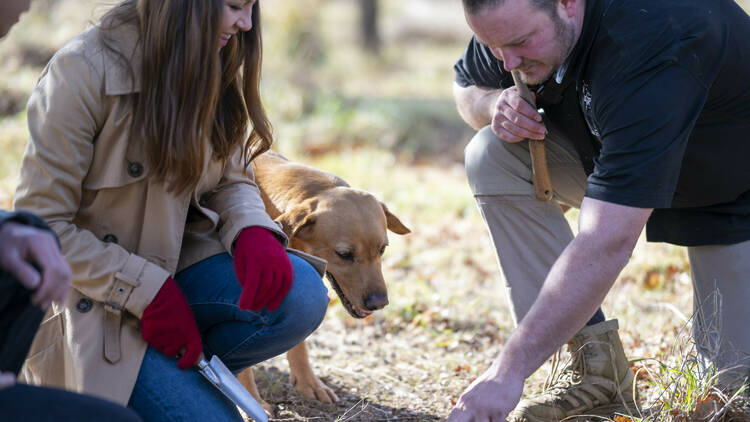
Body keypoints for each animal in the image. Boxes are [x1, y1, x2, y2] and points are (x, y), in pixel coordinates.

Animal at [238, 151, 412, 412]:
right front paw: (250, 401)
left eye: (383, 249)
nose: (379, 303)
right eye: (344, 254)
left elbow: (300, 342)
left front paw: (308, 383)